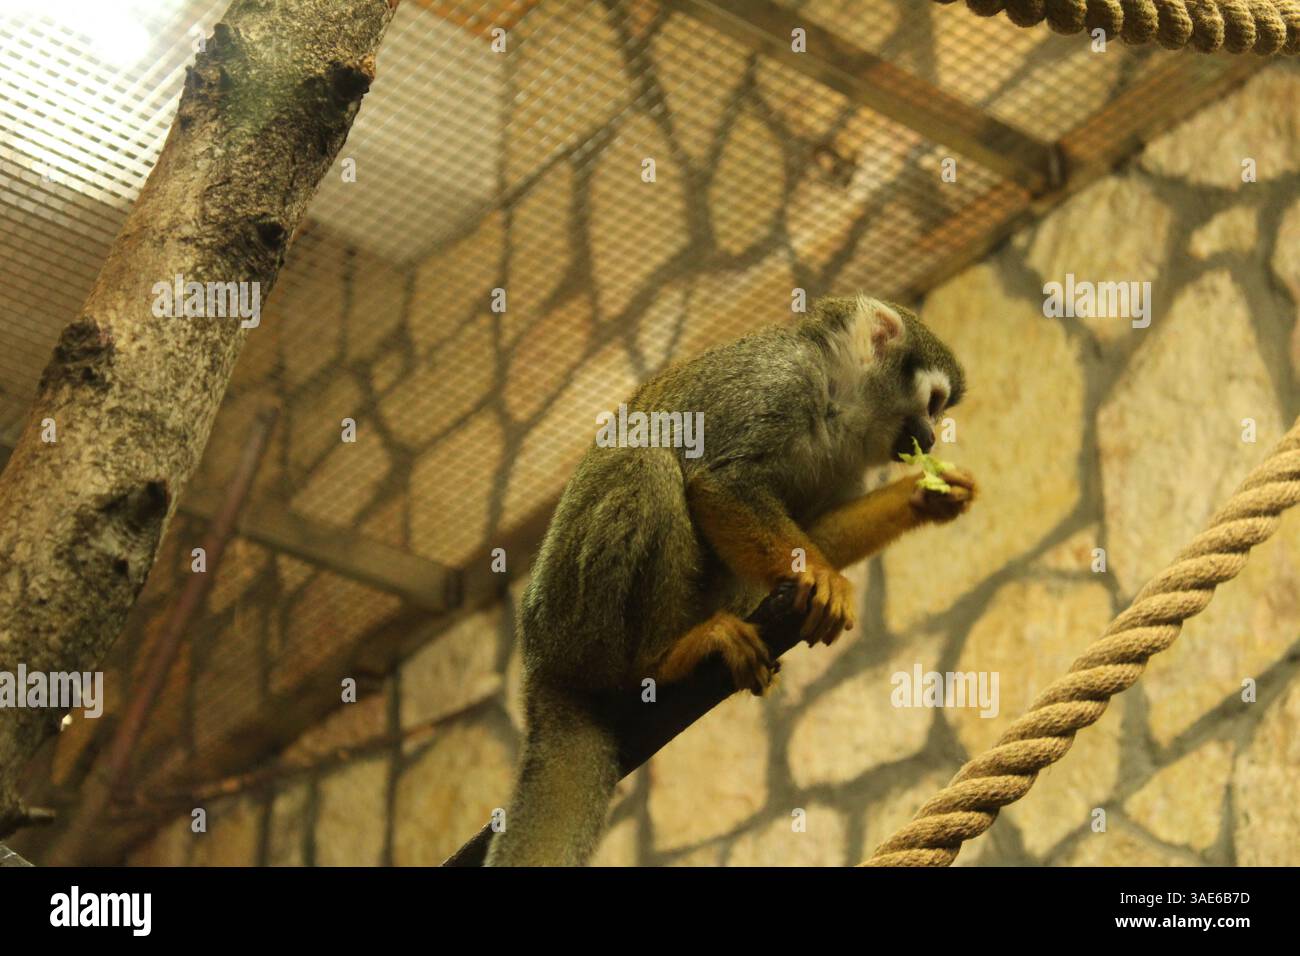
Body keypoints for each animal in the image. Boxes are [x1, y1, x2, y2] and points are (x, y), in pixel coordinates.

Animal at [485, 294, 975, 866]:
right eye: (933, 402)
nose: (930, 437)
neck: (836, 400)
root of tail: (541, 664)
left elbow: (818, 533)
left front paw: (923, 495)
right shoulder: (775, 381)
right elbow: (718, 483)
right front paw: (824, 580)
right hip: (576, 617)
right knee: (648, 461)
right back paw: (663, 658)